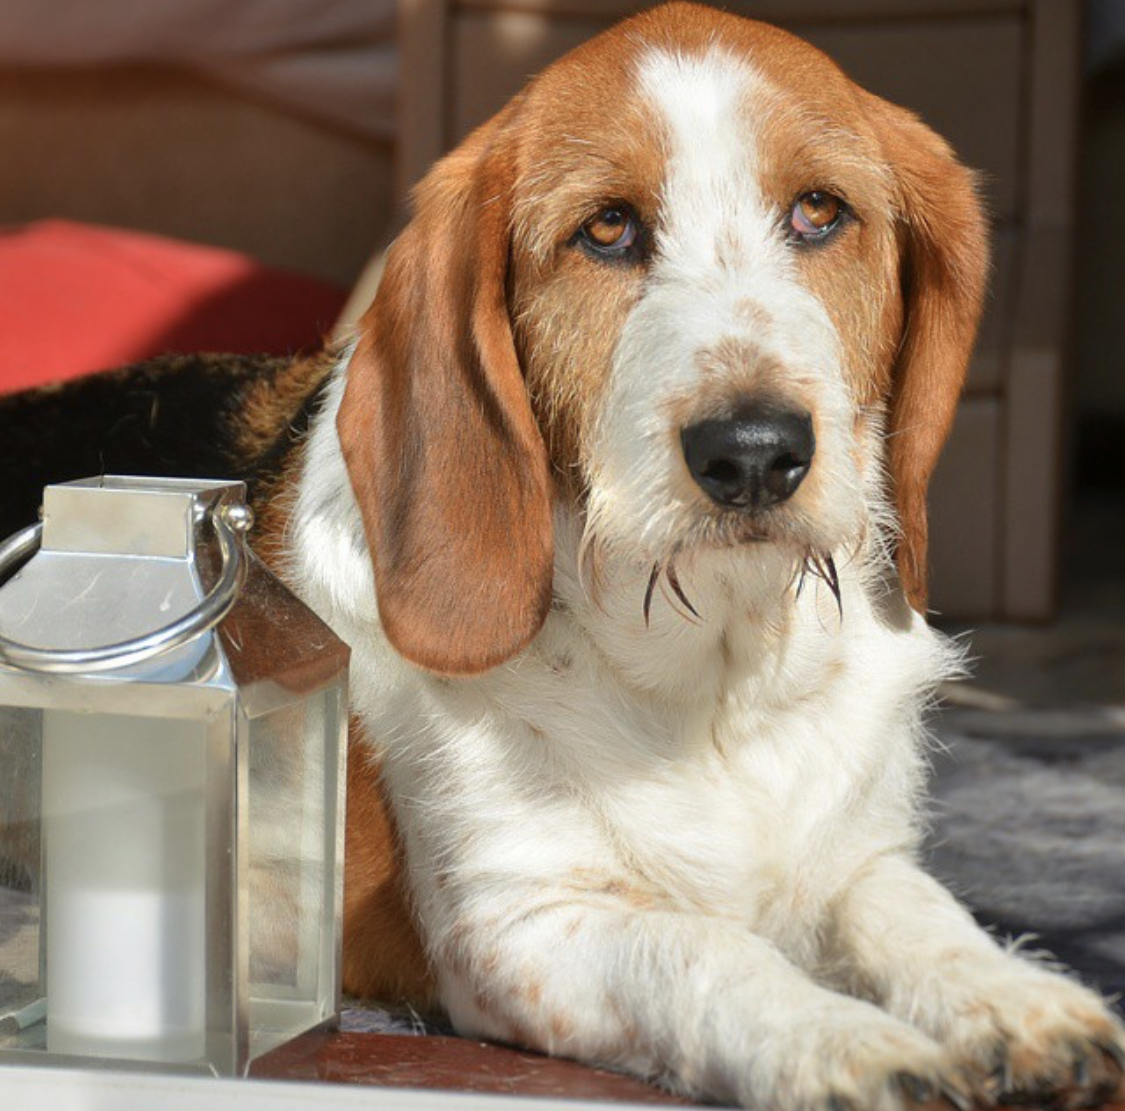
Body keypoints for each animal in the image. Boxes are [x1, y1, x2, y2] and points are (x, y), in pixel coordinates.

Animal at [0, 2, 1120, 1111]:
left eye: (818, 211)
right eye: (607, 229)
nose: (754, 453)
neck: (716, 674)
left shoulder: (852, 859)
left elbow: (922, 915)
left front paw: (1018, 999)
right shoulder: (522, 927)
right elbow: (708, 955)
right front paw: (838, 1041)